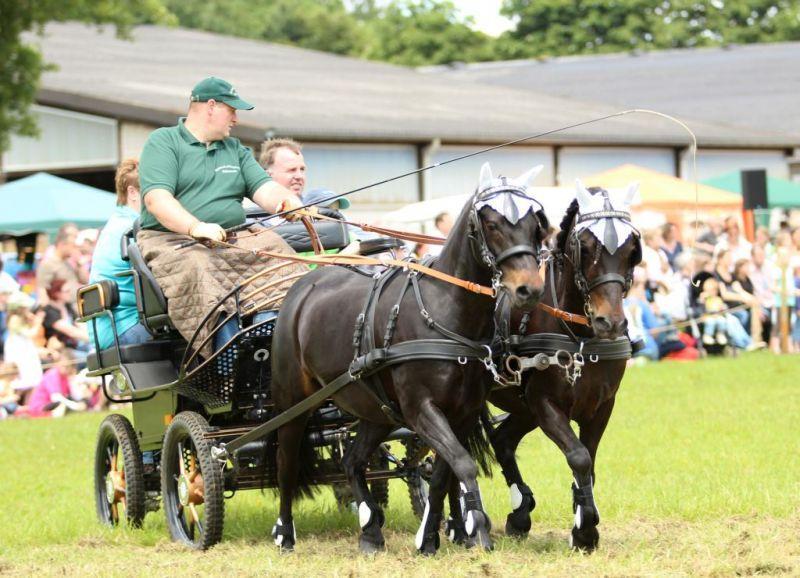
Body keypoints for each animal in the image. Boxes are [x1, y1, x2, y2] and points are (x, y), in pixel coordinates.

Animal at [268, 163, 552, 552]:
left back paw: (370, 530)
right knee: (286, 463)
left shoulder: (462, 413)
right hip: (292, 402)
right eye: (492, 224)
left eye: (536, 224)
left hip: (375, 409)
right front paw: (476, 528)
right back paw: (285, 533)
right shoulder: (422, 409)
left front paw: (431, 537)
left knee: (352, 460)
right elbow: (463, 464)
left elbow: (443, 474)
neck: (445, 310)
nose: (529, 289)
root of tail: (301, 287)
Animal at [482, 180, 644, 548]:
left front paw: (584, 517)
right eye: (586, 247)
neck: (579, 334)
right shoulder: (545, 403)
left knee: (502, 441)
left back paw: (520, 514)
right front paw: (585, 530)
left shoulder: (601, 405)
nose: (610, 322)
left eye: (632, 248)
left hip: (523, 407)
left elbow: (591, 462)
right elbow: (579, 456)